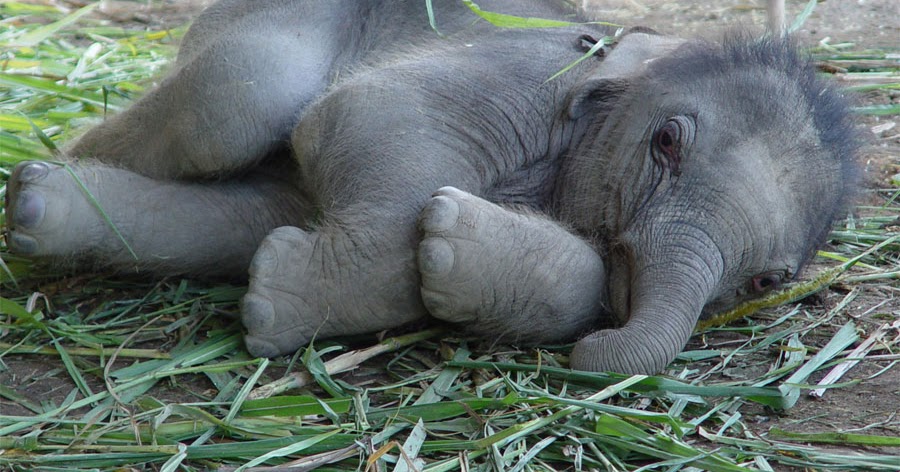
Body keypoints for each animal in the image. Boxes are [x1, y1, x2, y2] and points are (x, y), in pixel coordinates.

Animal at [3, 0, 858, 374]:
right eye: (667, 142)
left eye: (768, 280)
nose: (592, 355)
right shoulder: (520, 69)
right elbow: (369, 111)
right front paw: (273, 311)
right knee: (235, 101)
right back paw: (42, 181)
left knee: (244, 213)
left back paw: (42, 209)